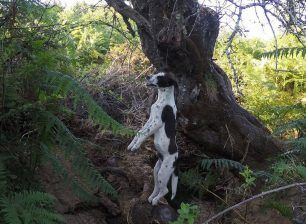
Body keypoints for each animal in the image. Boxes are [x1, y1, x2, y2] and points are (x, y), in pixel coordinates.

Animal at [127, 72, 179, 206]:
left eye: (160, 77)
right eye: (156, 73)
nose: (147, 76)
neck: (163, 98)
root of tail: (177, 160)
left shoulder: (157, 122)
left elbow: (143, 134)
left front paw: (136, 146)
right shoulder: (150, 119)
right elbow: (140, 132)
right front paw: (132, 144)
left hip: (163, 172)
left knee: (165, 190)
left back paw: (155, 200)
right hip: (156, 170)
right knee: (157, 187)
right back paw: (151, 197)